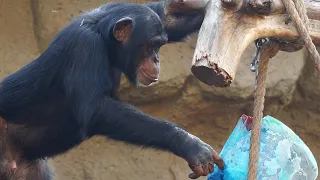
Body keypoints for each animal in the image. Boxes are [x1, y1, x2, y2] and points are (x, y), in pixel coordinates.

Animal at [0, 0, 224, 179]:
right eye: (151, 45)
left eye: (160, 44)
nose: (156, 59)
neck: (104, 40)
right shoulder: (83, 46)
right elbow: (96, 109)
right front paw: (189, 144)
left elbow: (167, 18)